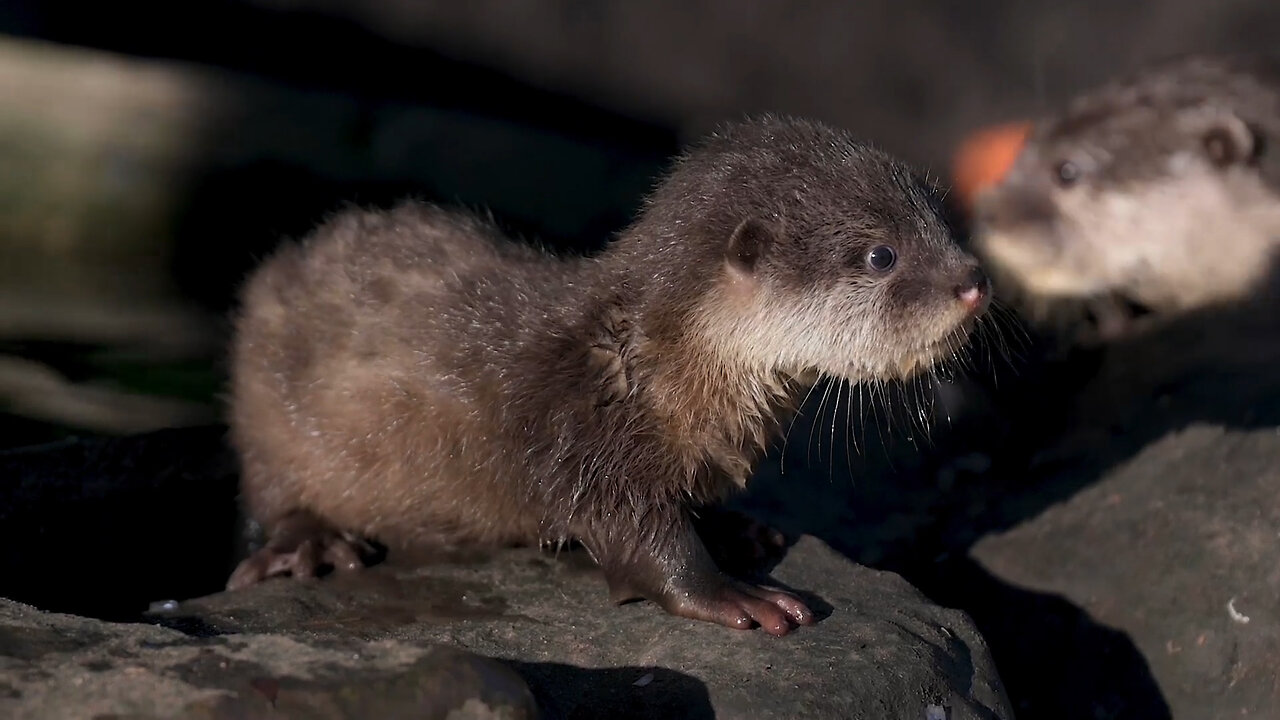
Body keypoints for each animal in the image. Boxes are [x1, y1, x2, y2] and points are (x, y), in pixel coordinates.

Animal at [227, 114, 988, 630]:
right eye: (881, 255)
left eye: (937, 217)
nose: (974, 280)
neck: (650, 369)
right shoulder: (580, 437)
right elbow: (633, 534)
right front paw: (731, 592)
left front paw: (736, 529)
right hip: (265, 409)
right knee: (270, 493)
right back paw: (309, 542)